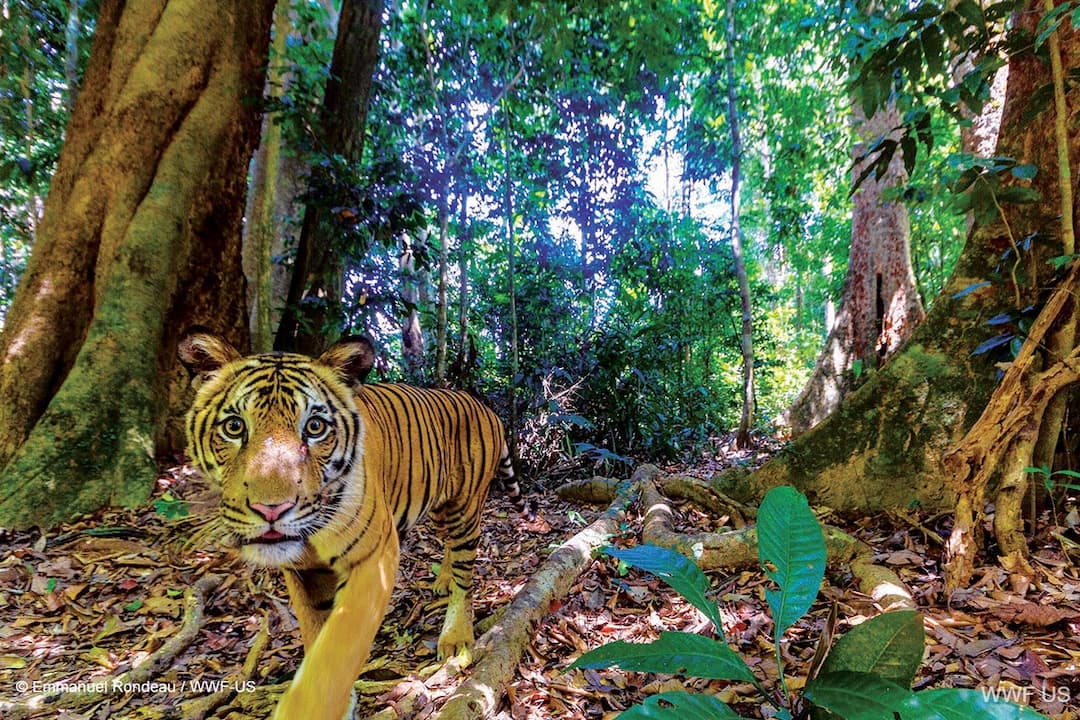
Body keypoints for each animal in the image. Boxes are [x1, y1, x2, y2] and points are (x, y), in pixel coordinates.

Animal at [177, 328, 524, 720]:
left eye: (315, 427)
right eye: (234, 426)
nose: (271, 509)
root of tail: (483, 405)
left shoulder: (374, 557)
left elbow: (340, 643)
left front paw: (308, 708)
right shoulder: (302, 574)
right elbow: (317, 637)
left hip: (465, 507)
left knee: (466, 574)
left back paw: (456, 637)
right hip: (439, 506)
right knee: (449, 546)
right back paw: (443, 580)